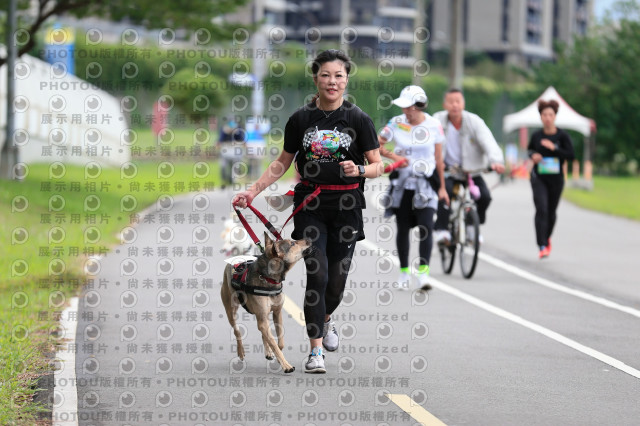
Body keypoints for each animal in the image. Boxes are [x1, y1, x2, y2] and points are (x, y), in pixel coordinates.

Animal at [220, 233, 312, 372]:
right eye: (292, 244)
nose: (309, 239)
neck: (269, 279)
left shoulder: (277, 313)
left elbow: (279, 342)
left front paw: (276, 354)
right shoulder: (263, 317)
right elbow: (273, 342)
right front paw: (286, 365)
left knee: (264, 333)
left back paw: (268, 351)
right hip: (231, 310)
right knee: (237, 331)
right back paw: (241, 351)